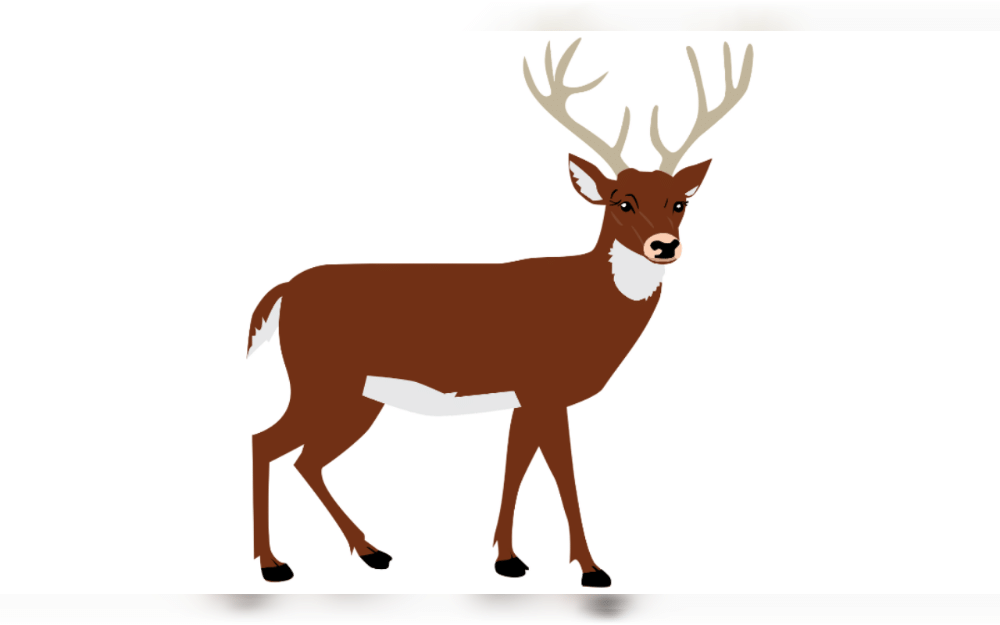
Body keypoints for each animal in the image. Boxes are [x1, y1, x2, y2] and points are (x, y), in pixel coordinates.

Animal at [246, 38, 753, 588]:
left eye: (680, 202)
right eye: (622, 202)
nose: (665, 246)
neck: (586, 305)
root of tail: (283, 292)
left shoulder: (524, 397)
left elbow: (515, 468)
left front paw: (507, 560)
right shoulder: (545, 388)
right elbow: (563, 474)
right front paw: (592, 568)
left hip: (358, 396)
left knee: (304, 461)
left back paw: (371, 551)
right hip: (321, 380)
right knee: (265, 443)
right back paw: (274, 565)